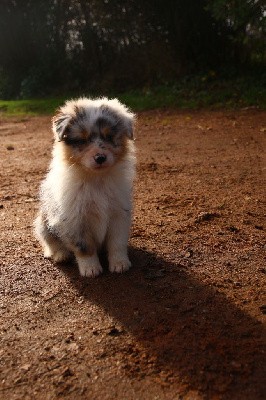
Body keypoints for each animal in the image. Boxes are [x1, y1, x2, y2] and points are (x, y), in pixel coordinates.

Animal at [34, 97, 136, 278]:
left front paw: (120, 263)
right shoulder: (75, 220)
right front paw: (91, 269)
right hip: (43, 224)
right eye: (82, 140)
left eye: (109, 136)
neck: (96, 179)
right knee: (50, 243)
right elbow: (85, 247)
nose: (100, 158)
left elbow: (117, 243)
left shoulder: (119, 213)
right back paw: (60, 255)